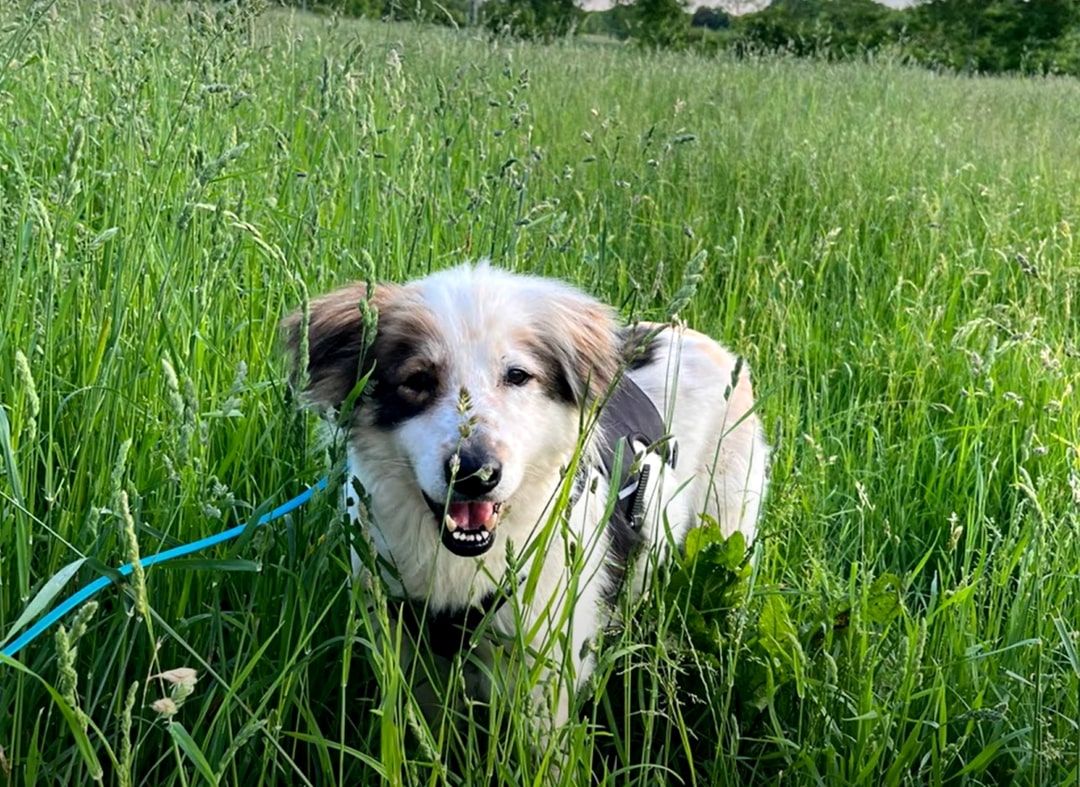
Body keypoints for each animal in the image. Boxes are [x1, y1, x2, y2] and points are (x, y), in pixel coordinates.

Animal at [280, 264, 768, 729]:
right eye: (417, 380)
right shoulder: (404, 647)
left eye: (517, 376)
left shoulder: (544, 675)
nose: (475, 472)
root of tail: (696, 337)